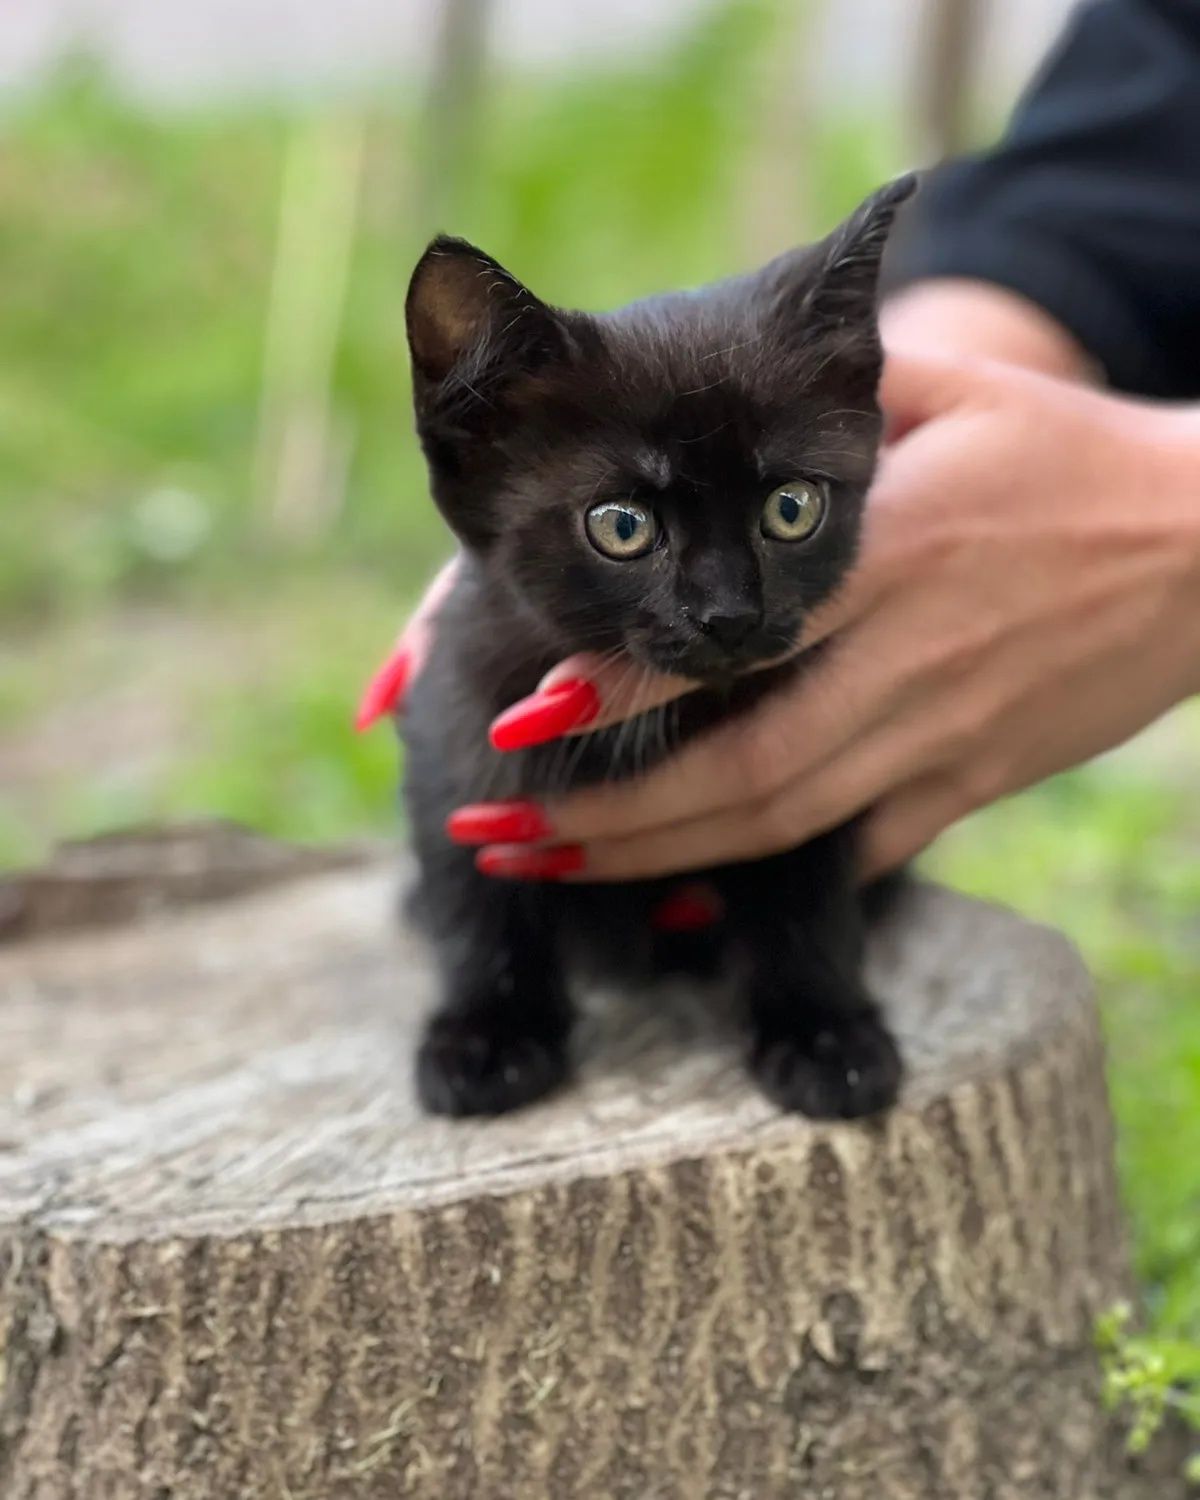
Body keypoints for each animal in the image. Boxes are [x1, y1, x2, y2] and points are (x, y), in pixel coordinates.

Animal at [402, 172, 918, 1116]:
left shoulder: (816, 767)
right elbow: (476, 890)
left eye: (792, 508)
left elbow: (808, 892)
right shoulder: (451, 725)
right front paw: (486, 1034)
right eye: (622, 526)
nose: (729, 614)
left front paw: (824, 1031)